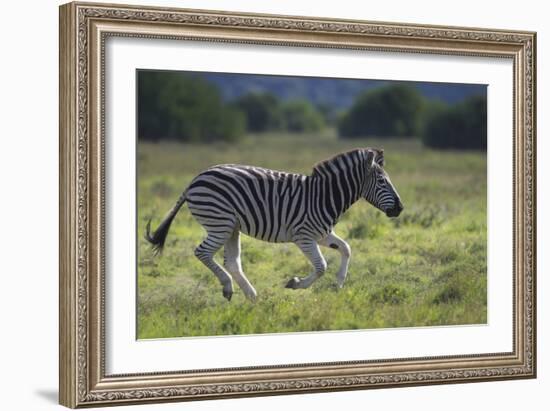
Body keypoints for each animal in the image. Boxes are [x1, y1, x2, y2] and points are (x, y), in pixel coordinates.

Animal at [147, 149, 406, 302]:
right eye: (382, 181)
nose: (400, 208)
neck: (324, 196)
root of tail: (196, 178)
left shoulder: (322, 234)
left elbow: (346, 248)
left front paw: (339, 283)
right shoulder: (304, 236)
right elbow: (321, 266)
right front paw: (296, 283)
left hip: (231, 227)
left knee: (232, 262)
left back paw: (252, 296)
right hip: (220, 223)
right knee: (202, 252)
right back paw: (229, 287)